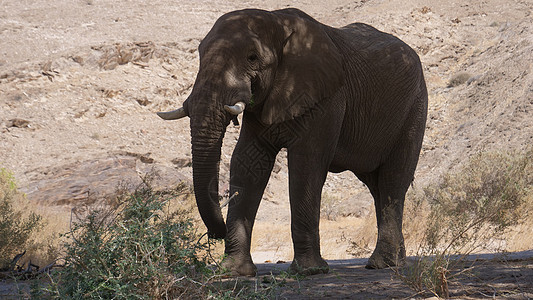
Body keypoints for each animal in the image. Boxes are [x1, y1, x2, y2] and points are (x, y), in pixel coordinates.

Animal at [157, 8, 428, 276]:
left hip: (415, 108)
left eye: (252, 57)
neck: (278, 22)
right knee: (377, 186)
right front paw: (234, 271)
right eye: (199, 54)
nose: (216, 233)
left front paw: (310, 271)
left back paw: (382, 264)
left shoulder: (327, 97)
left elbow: (306, 162)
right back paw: (396, 261)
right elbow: (247, 163)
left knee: (393, 180)